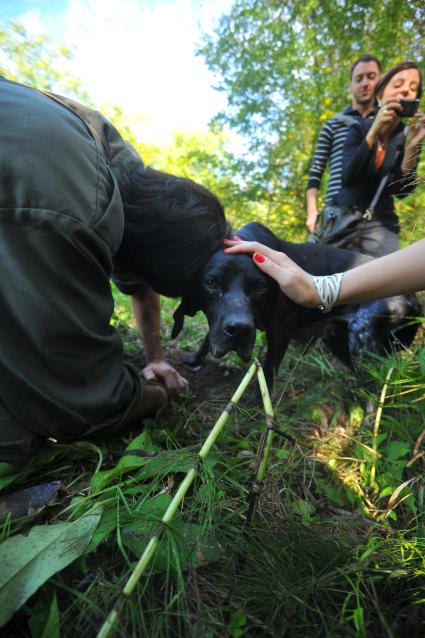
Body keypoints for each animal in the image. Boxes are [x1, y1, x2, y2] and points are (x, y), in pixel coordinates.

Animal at [171, 225, 420, 396]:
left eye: (260, 287)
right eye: (211, 283)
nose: (240, 330)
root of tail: (415, 299)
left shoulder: (281, 332)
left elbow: (269, 370)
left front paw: (256, 403)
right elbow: (209, 335)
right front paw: (194, 357)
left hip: (363, 343)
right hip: (340, 341)